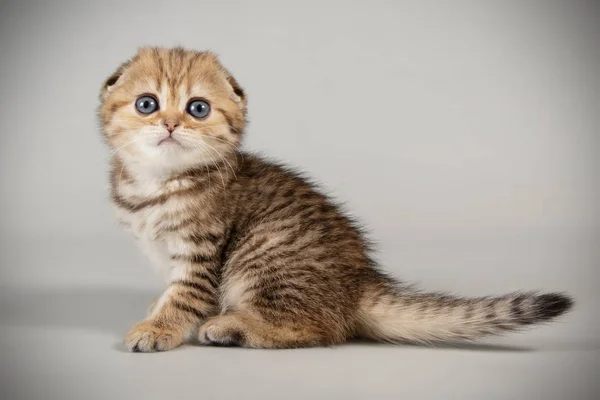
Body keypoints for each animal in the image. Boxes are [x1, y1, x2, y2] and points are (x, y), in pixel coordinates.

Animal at [98, 47, 572, 354]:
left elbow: (185, 294)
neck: (157, 183)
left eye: (198, 108)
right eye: (147, 104)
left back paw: (232, 326)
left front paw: (161, 327)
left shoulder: (201, 250)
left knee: (324, 329)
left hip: (262, 253)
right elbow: (173, 289)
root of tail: (360, 284)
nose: (170, 124)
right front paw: (158, 310)